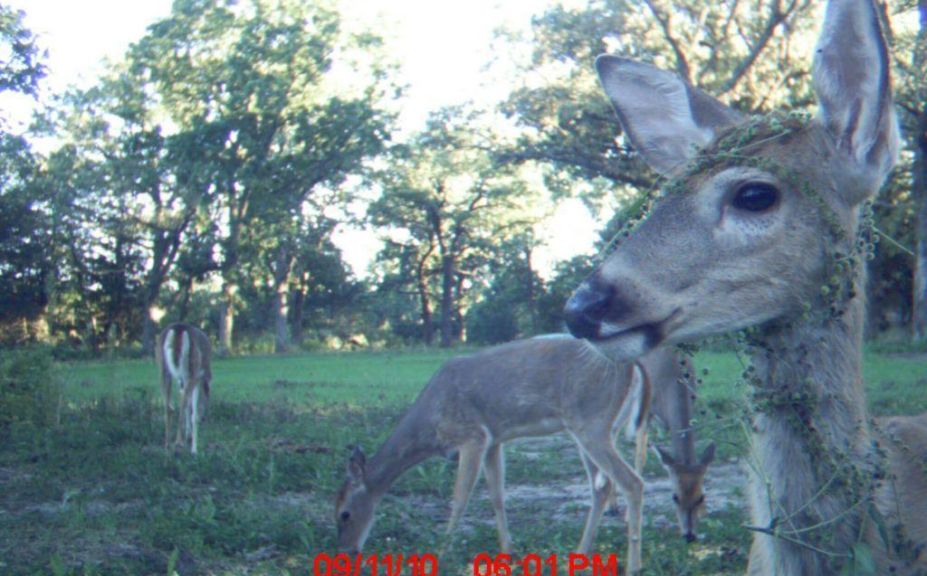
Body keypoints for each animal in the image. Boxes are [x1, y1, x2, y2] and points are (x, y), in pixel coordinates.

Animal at [158, 324, 212, 454]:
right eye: (208, 398)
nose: (204, 419)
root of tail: (178, 329)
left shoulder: (181, 380)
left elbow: (188, 404)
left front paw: (189, 435)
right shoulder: (198, 376)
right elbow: (193, 411)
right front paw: (194, 448)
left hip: (163, 368)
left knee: (169, 406)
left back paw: (167, 444)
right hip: (192, 370)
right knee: (182, 404)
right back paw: (178, 443)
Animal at [338, 332, 648, 572]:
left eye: (344, 514)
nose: (346, 553)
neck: (430, 424)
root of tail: (633, 366)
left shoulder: (473, 435)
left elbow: (460, 498)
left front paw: (440, 553)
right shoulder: (494, 441)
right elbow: (497, 495)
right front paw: (507, 551)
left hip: (591, 423)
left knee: (632, 482)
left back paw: (633, 565)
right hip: (594, 428)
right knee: (602, 486)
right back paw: (580, 554)